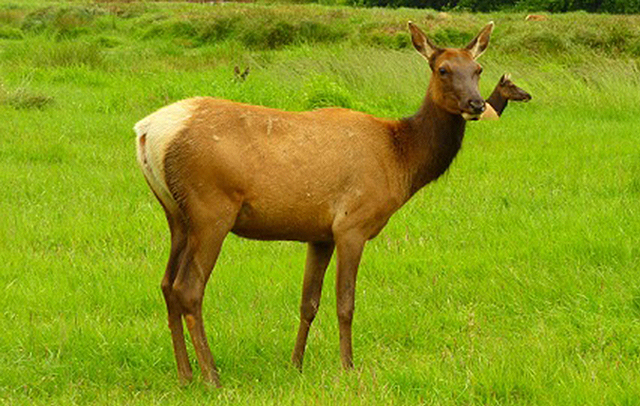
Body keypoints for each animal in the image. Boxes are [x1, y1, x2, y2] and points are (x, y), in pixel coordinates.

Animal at [135, 20, 496, 386]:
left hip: (176, 214)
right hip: (210, 209)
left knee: (166, 284)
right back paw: (211, 375)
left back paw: (185, 374)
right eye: (443, 69)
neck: (400, 160)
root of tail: (147, 130)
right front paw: (348, 366)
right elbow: (346, 303)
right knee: (188, 288)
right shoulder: (352, 224)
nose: (476, 104)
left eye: (478, 69)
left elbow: (308, 302)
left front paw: (296, 364)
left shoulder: (320, 234)